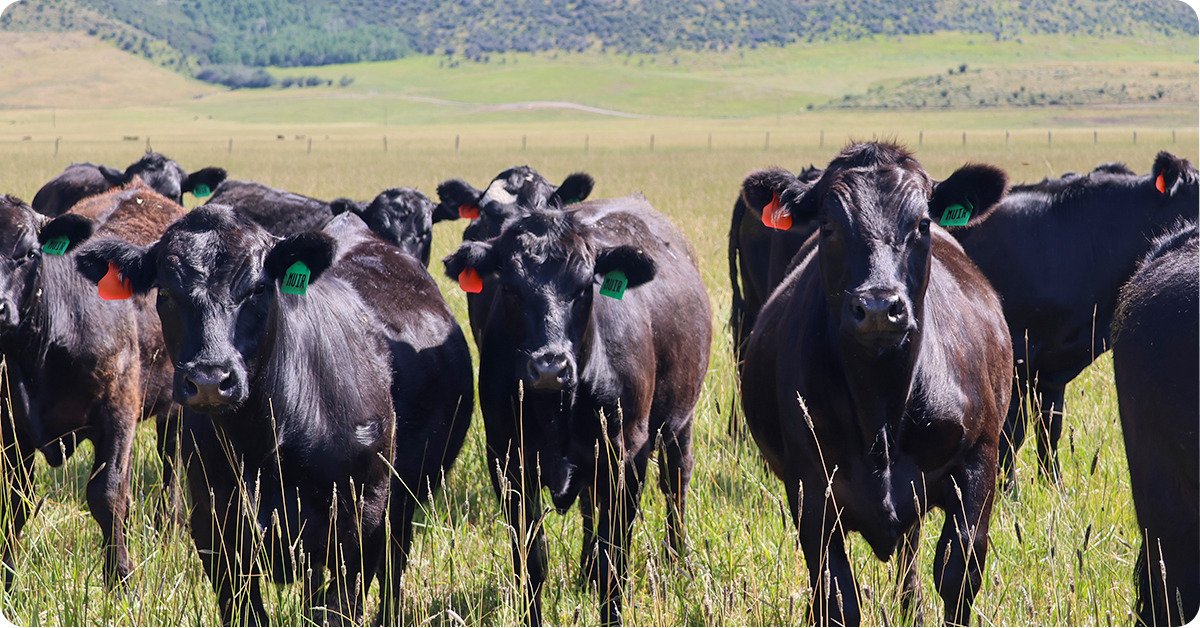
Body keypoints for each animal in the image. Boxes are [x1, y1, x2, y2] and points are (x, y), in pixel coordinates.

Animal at [0, 182, 184, 591]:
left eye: (30, 253)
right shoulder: (11, 428)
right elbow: (13, 501)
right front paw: (5, 579)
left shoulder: (117, 413)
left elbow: (106, 495)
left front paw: (121, 579)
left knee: (172, 459)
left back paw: (169, 524)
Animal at [76, 205, 474, 625]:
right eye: (165, 293)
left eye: (258, 289)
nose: (209, 380)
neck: (262, 440)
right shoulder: (214, 527)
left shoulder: (360, 522)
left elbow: (339, 607)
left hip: (402, 503)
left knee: (392, 570)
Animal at [443, 196, 711, 626]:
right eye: (511, 288)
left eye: (586, 287)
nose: (550, 366)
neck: (557, 409)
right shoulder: (508, 461)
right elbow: (532, 561)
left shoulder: (626, 459)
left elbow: (613, 564)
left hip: (680, 422)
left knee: (676, 485)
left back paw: (677, 563)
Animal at [738, 142, 1011, 626]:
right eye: (828, 224)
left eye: (922, 222)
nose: (880, 307)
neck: (881, 407)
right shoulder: (811, 491)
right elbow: (837, 596)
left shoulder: (979, 461)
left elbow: (958, 572)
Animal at [946, 153, 1200, 487]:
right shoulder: (1016, 355)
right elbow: (1011, 433)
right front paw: (1008, 489)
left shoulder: (1051, 368)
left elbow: (1049, 428)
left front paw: (1053, 485)